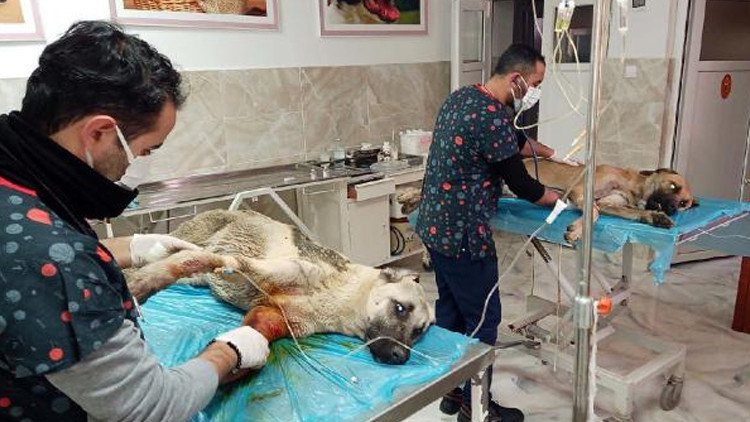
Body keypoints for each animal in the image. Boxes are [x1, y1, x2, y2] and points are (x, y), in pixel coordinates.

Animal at [125, 209, 434, 365]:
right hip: (190, 242)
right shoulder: (243, 267)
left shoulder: (268, 316)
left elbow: (249, 335)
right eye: (400, 308)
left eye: (419, 332)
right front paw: (143, 283)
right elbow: (189, 260)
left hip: (198, 279)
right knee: (172, 254)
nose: (402, 357)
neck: (340, 293)